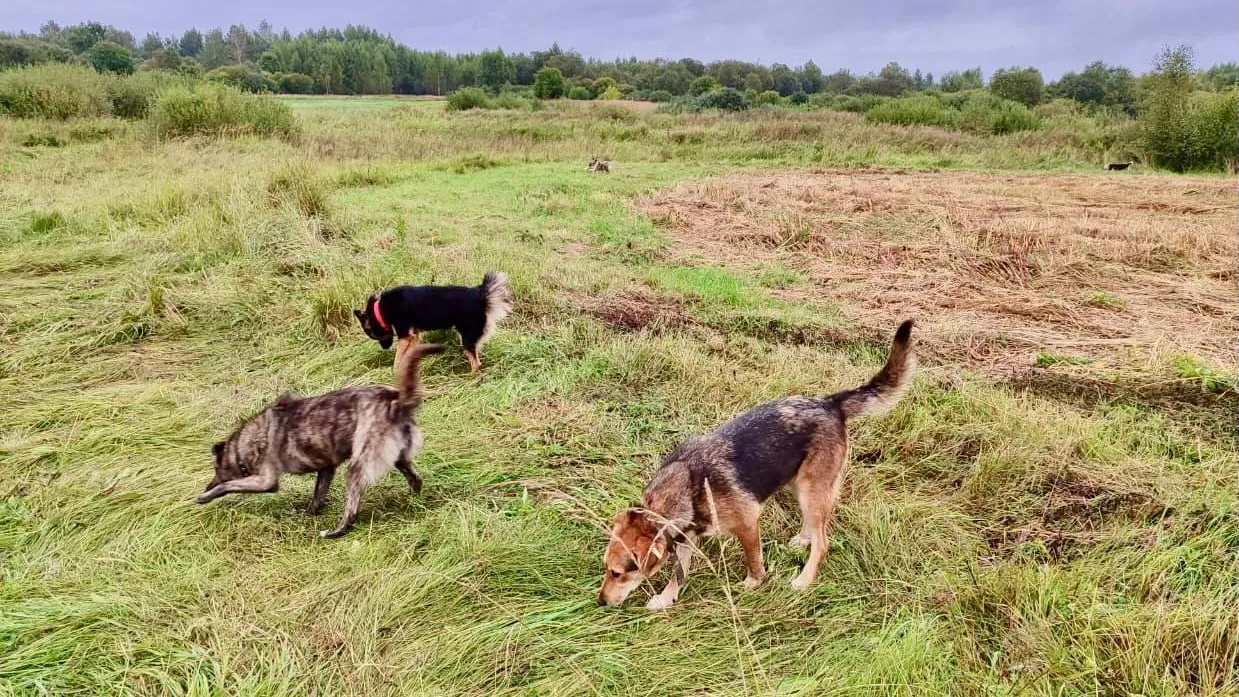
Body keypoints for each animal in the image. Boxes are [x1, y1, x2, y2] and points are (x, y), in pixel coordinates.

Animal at [203, 344, 450, 539]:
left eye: (216, 469)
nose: (206, 486)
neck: (243, 444)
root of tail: (396, 402)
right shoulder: (326, 469)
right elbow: (317, 496)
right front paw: (308, 513)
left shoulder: (266, 481)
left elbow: (229, 485)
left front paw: (206, 496)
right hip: (399, 458)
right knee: (415, 479)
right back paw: (414, 502)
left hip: (357, 467)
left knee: (352, 511)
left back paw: (336, 531)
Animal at [354, 271, 512, 373]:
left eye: (374, 336)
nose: (385, 348)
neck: (380, 310)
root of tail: (481, 296)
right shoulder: (414, 336)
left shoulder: (405, 336)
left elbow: (398, 358)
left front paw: (395, 371)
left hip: (467, 338)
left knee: (476, 363)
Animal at [594, 321, 916, 611]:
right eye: (606, 568)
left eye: (618, 573)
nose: (600, 602)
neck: (689, 488)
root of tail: (830, 403)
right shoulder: (685, 537)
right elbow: (678, 572)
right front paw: (666, 598)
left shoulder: (748, 523)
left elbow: (753, 559)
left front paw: (754, 583)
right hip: (800, 484)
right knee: (814, 525)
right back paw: (802, 539)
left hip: (812, 487)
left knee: (823, 542)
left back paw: (805, 579)